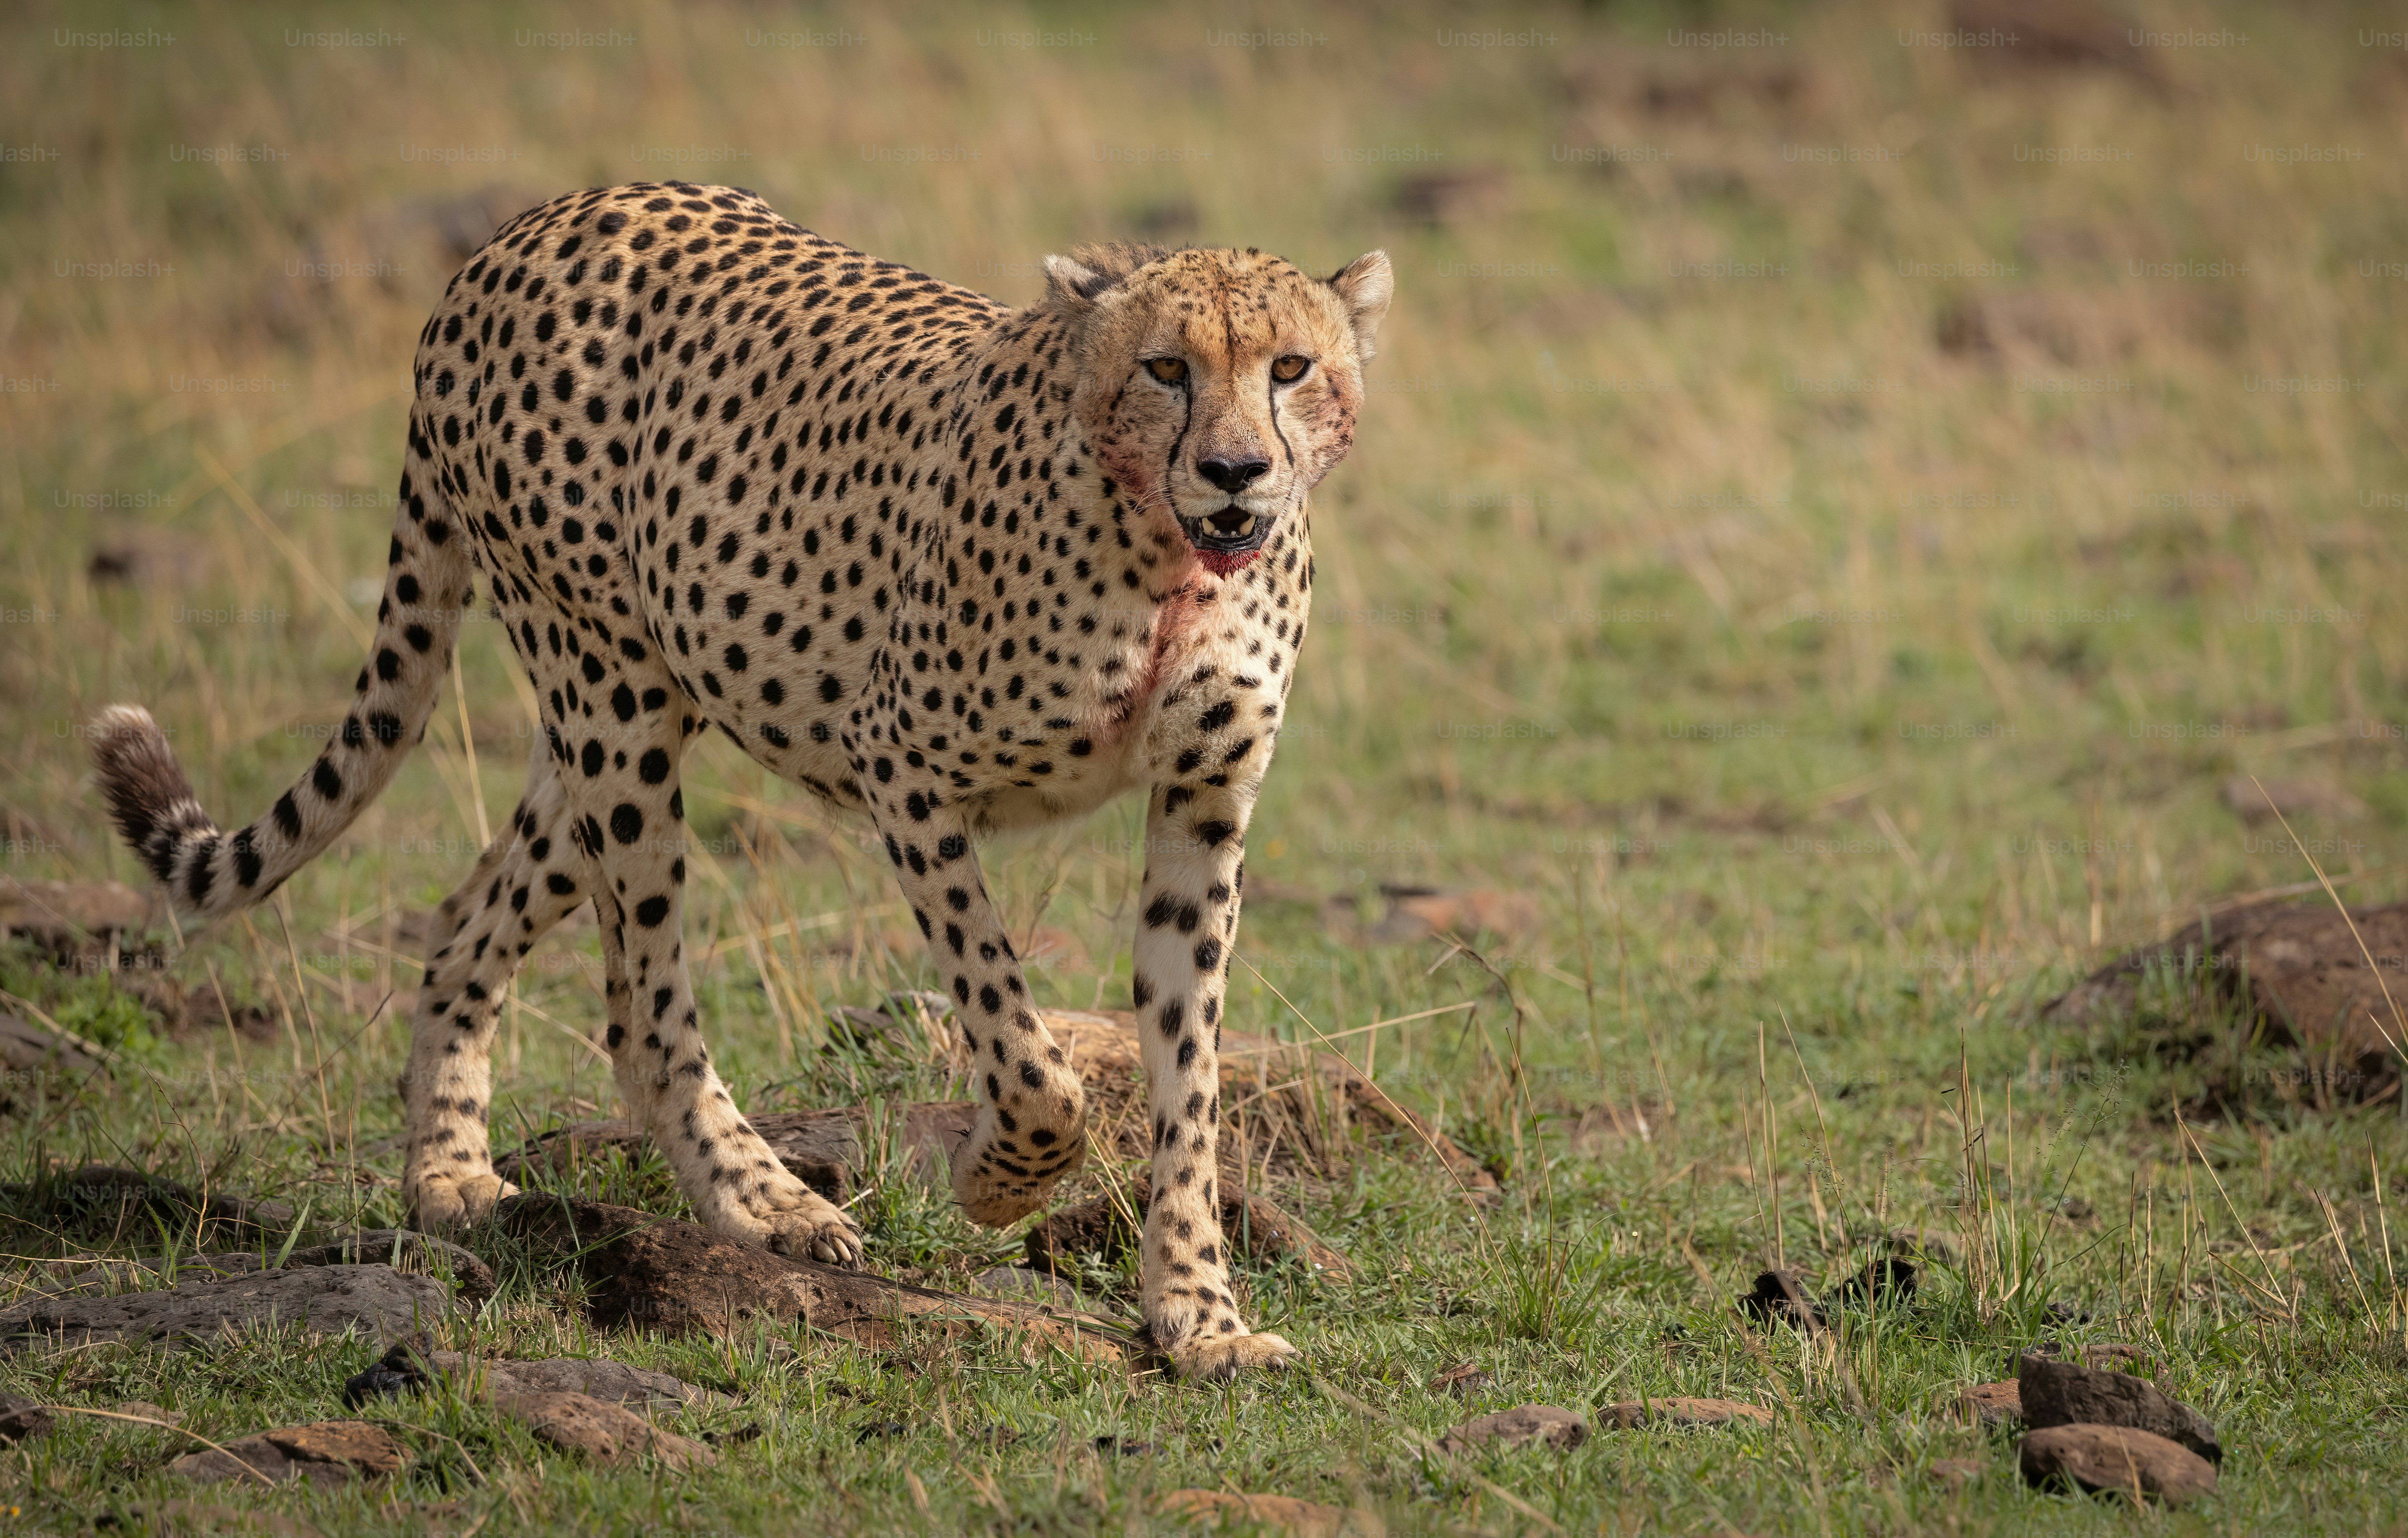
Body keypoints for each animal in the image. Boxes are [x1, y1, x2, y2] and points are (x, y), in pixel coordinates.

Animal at [88, 181, 1390, 1380]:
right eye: (1166, 368)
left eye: (1289, 368)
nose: (1234, 470)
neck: (1167, 559)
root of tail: (541, 221)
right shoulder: (902, 769)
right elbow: (1028, 1050)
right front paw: (997, 1182)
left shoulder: (1201, 808)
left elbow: (1189, 1076)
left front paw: (1198, 1317)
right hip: (609, 699)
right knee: (643, 1002)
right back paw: (763, 1202)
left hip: (625, 712)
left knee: (469, 920)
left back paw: (451, 1172)